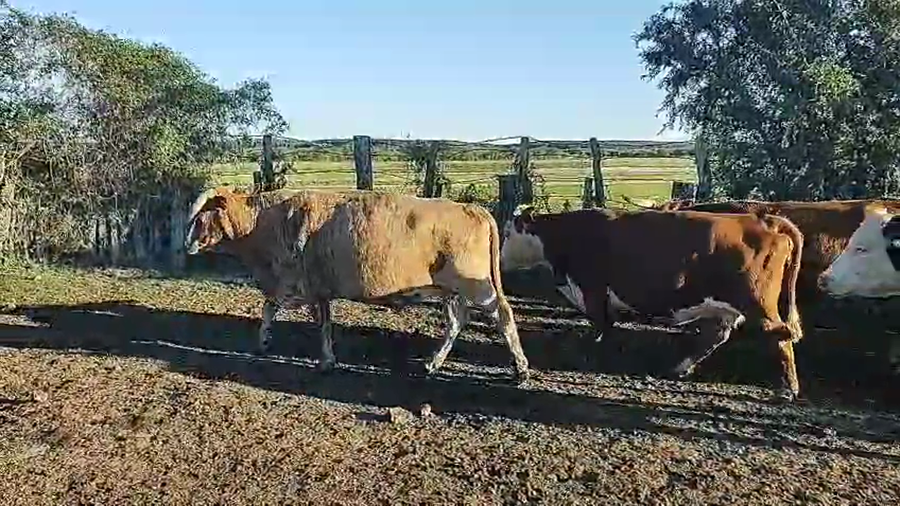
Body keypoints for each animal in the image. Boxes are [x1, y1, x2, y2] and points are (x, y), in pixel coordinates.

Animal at [184, 186, 531, 383]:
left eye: (200, 215)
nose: (185, 243)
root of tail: (472, 208)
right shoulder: (301, 286)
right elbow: (270, 309)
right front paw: (264, 342)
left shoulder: (310, 284)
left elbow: (321, 324)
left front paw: (326, 361)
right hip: (451, 291)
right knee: (457, 321)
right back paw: (432, 364)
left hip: (476, 285)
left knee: (503, 315)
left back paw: (521, 369)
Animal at [499, 206, 805, 400]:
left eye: (506, 233)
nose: (499, 260)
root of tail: (764, 219)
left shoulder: (593, 289)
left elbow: (599, 325)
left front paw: (584, 353)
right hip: (725, 307)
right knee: (717, 336)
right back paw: (679, 368)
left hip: (756, 301)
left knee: (779, 334)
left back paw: (787, 388)